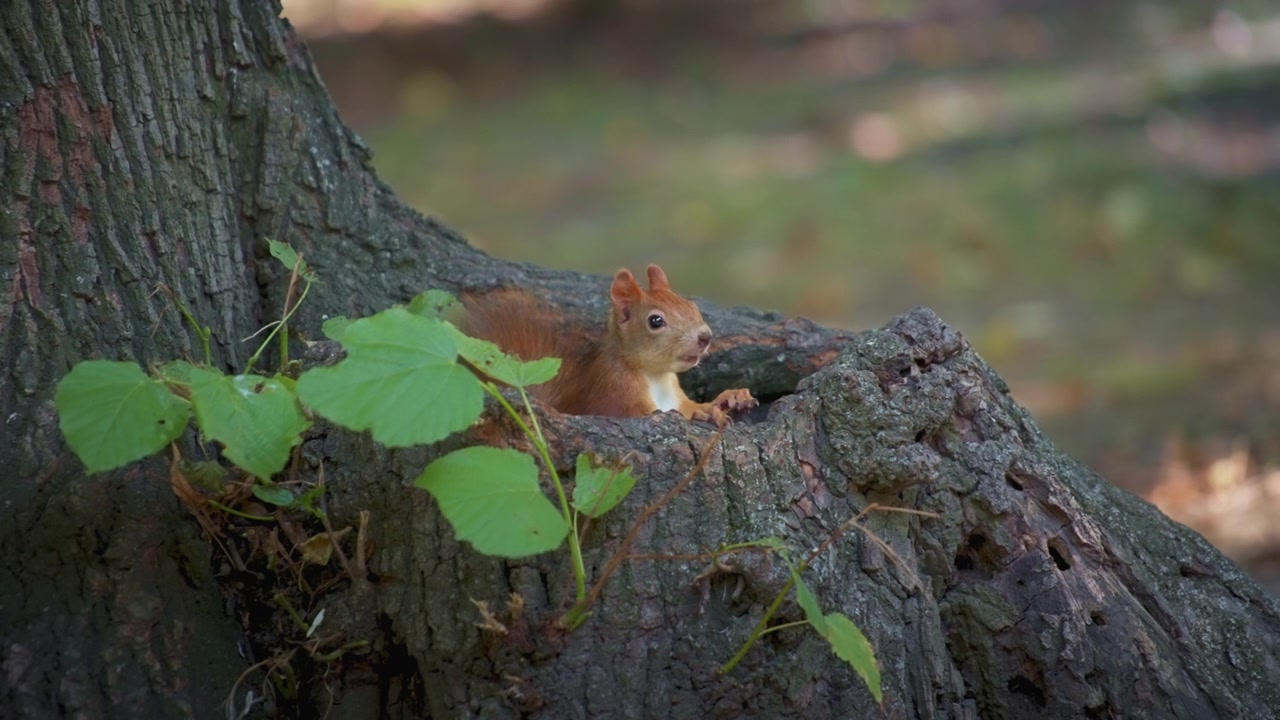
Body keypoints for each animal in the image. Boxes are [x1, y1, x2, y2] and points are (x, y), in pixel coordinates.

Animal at [457, 264, 757, 427]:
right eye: (655, 321)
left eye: (692, 306)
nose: (705, 336)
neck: (656, 377)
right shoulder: (617, 396)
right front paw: (702, 412)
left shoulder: (675, 395)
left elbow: (689, 404)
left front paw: (729, 398)